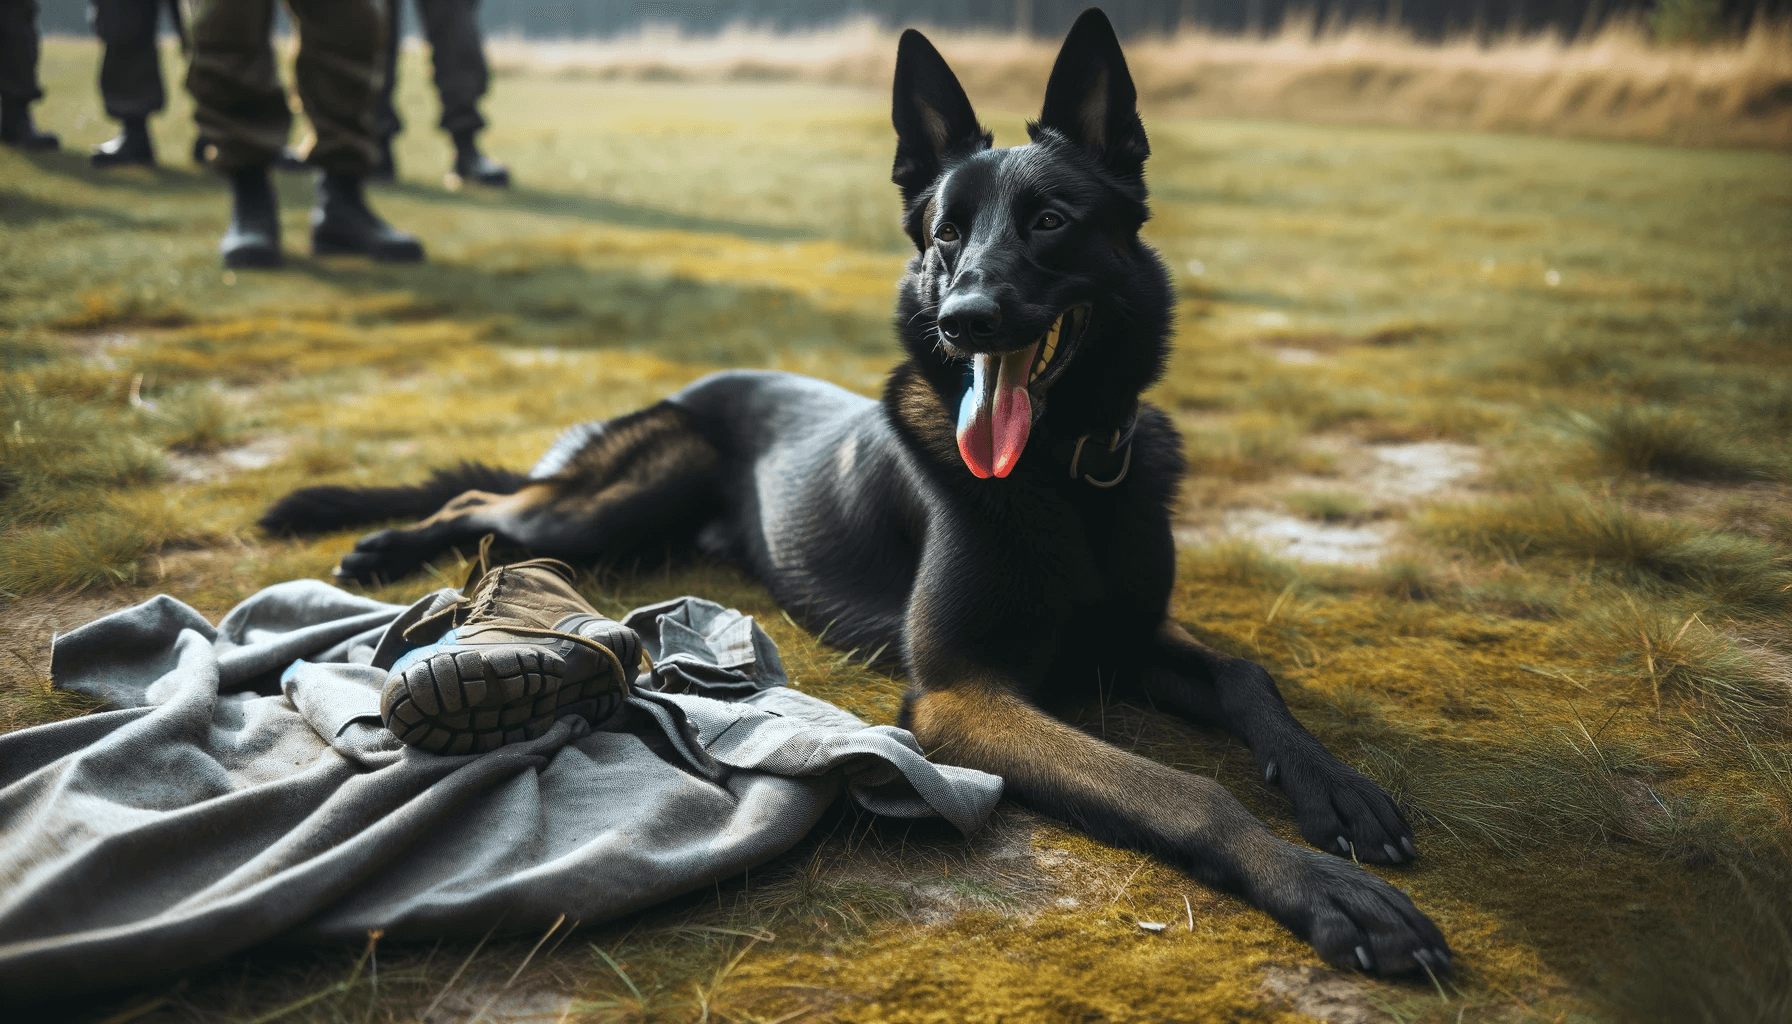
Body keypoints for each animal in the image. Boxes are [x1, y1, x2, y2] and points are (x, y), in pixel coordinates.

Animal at [272, 10, 1462, 975]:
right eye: (946, 233)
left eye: (1050, 221)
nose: (968, 317)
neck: (1064, 475)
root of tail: (695, 386)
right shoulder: (963, 697)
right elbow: (1183, 790)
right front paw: (1325, 886)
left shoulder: (1131, 636)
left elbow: (1250, 678)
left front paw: (1336, 790)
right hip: (612, 500)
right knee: (484, 512)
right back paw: (380, 548)